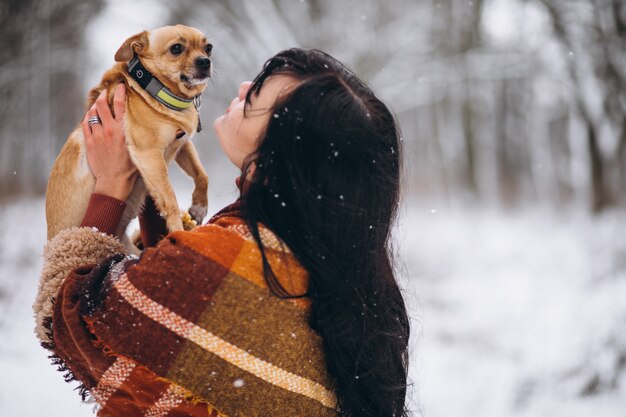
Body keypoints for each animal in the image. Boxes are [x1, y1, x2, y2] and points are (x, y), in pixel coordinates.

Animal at [46, 25, 211, 250]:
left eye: (209, 48)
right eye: (176, 48)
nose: (205, 61)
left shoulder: (182, 144)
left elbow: (201, 174)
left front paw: (199, 206)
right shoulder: (149, 154)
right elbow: (170, 199)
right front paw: (179, 231)